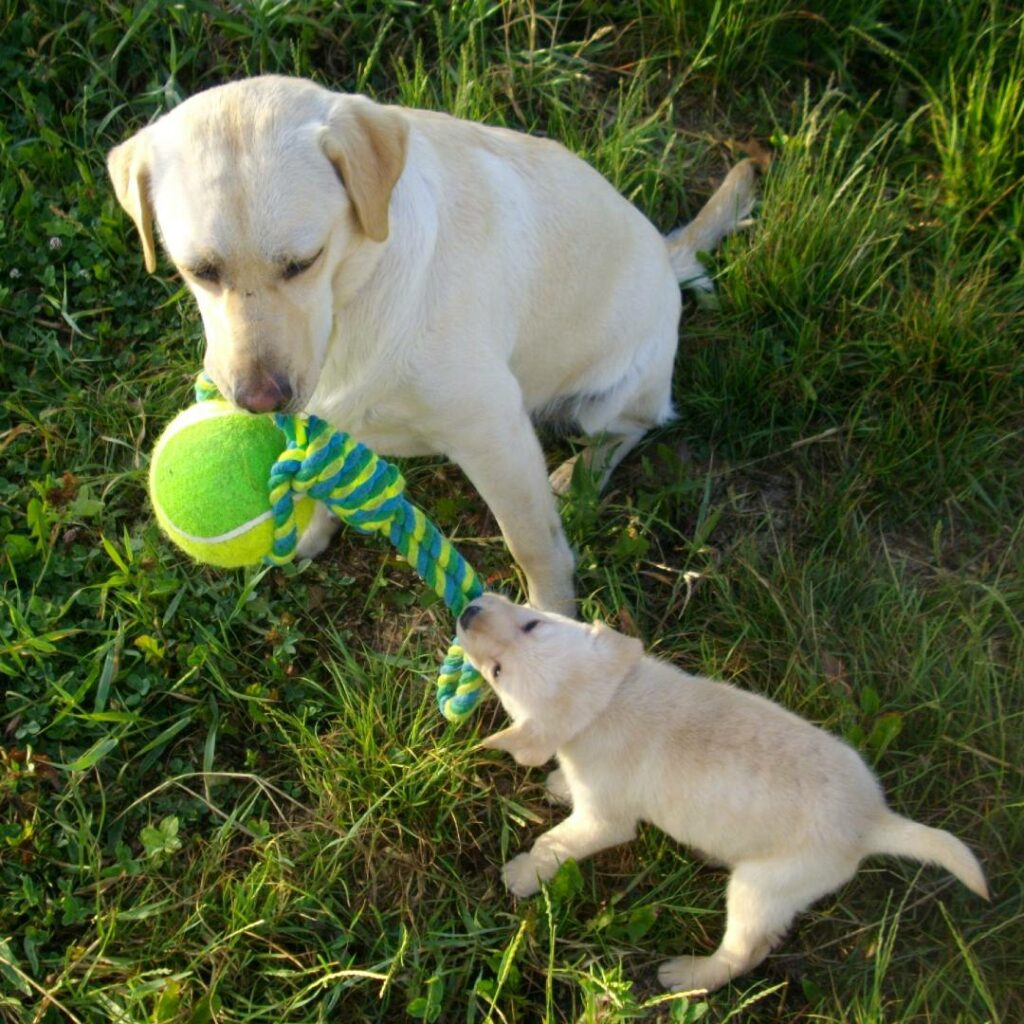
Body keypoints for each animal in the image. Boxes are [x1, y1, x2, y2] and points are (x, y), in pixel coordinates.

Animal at [108, 75, 757, 614]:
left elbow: (532, 544)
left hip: (614, 396)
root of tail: (667, 253)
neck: (355, 297)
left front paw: (552, 623)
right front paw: (312, 529)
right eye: (198, 270)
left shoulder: (494, 433)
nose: (256, 401)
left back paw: (580, 475)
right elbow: (324, 482)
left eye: (303, 262)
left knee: (632, 428)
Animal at [456, 593, 983, 991]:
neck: (607, 702)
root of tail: (872, 819)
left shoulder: (603, 821)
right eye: (500, 664)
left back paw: (689, 976)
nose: (468, 610)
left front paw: (524, 873)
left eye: (528, 628)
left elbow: (556, 843)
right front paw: (558, 784)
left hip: (761, 890)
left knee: (744, 953)